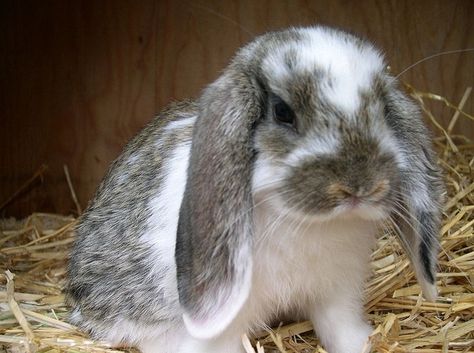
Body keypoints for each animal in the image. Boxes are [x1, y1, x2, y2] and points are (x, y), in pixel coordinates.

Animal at [65, 26, 444, 352]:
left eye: (383, 109)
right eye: (282, 111)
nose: (359, 186)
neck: (303, 222)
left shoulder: (338, 291)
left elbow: (341, 328)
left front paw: (364, 344)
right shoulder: (225, 324)